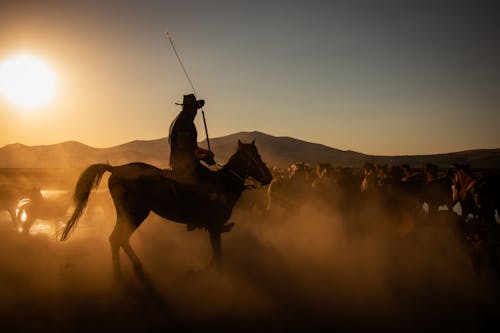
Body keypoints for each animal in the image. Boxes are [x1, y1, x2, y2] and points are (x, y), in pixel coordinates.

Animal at [58, 139, 274, 278]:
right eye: (256, 156)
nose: (269, 178)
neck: (224, 184)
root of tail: (116, 169)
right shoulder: (214, 227)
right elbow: (217, 253)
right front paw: (210, 273)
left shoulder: (215, 228)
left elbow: (217, 252)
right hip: (135, 214)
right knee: (117, 238)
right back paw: (121, 272)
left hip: (130, 215)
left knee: (119, 239)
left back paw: (133, 268)